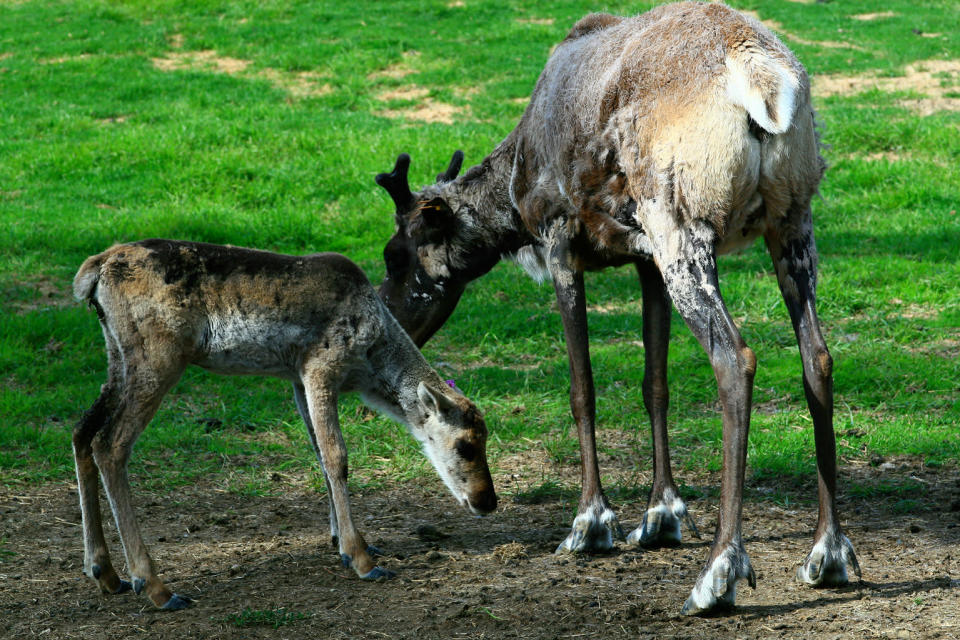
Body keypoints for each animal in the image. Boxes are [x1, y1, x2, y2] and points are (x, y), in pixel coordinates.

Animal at [73, 239, 496, 608]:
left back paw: (105, 573)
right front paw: (362, 559)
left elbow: (318, 453)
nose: (487, 501)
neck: (369, 362)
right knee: (110, 444)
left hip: (118, 356)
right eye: (465, 445)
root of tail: (95, 270)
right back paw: (155, 586)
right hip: (159, 355)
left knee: (82, 431)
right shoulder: (320, 366)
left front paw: (343, 541)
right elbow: (337, 456)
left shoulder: (295, 378)